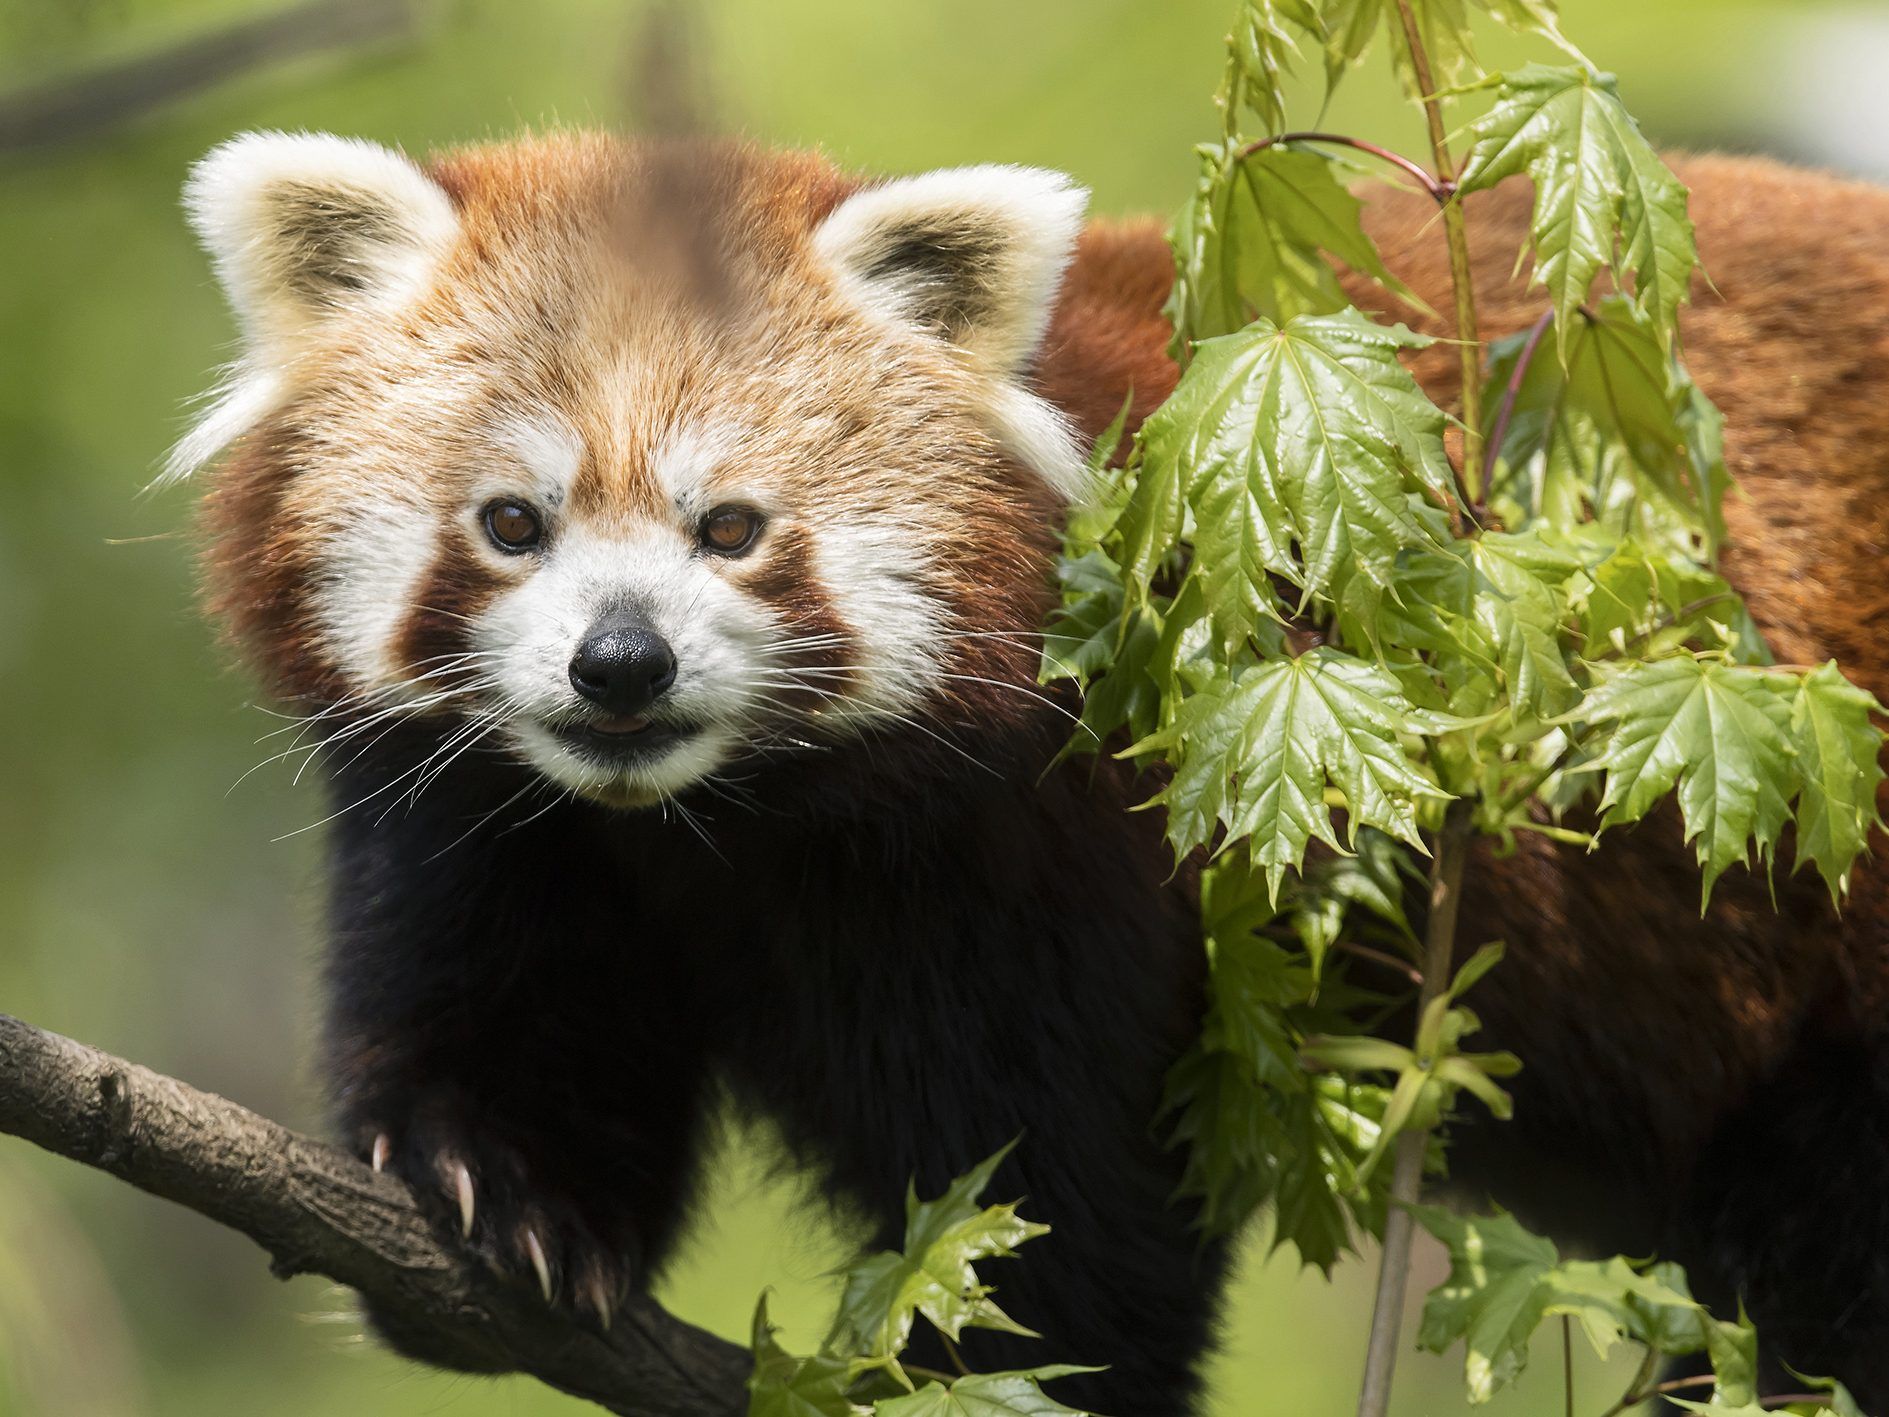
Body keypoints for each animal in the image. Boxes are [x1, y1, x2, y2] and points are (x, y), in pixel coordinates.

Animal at [170, 130, 1881, 1413]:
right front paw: (499, 1194)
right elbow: (516, 999)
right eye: (513, 522)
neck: (720, 817)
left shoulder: (1062, 840)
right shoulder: (505, 827)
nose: (620, 664)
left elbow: (1059, 1186)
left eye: (733, 526)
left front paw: (1011, 1370)